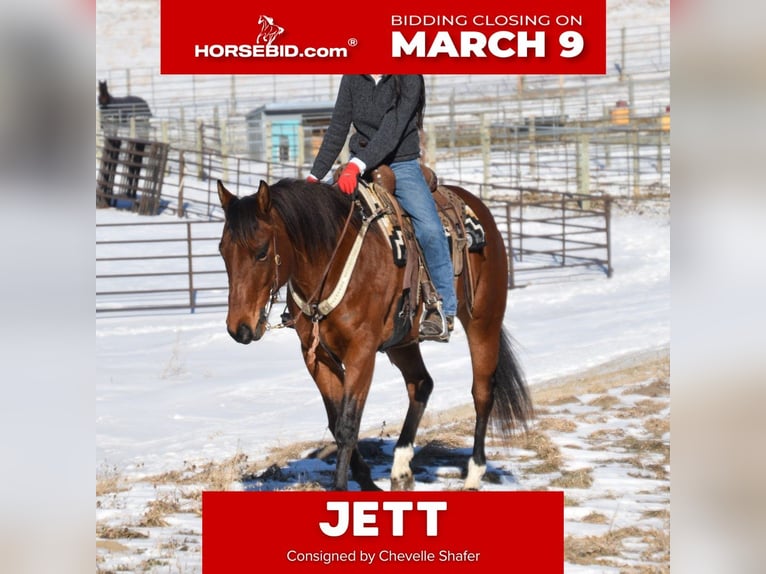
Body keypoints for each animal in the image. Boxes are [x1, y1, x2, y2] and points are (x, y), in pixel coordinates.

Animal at [216, 177, 533, 491]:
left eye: (261, 252)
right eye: (222, 251)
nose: (239, 328)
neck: (332, 261)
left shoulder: (361, 352)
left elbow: (347, 424)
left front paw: (342, 487)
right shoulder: (316, 356)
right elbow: (335, 421)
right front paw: (366, 481)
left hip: (483, 321)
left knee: (482, 393)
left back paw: (473, 476)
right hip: (403, 342)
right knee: (421, 383)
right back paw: (401, 469)